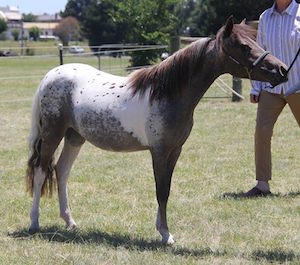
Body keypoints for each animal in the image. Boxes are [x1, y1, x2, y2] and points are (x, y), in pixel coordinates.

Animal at [24, 17, 288, 243]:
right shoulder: (159, 152)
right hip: (52, 134)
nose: (282, 69)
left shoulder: (175, 151)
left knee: (61, 171)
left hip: (74, 137)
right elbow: (161, 191)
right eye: (244, 46)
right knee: (41, 172)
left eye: (256, 41)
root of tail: (50, 75)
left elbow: (166, 190)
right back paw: (34, 223)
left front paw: (164, 231)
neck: (167, 93)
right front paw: (166, 235)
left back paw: (70, 222)